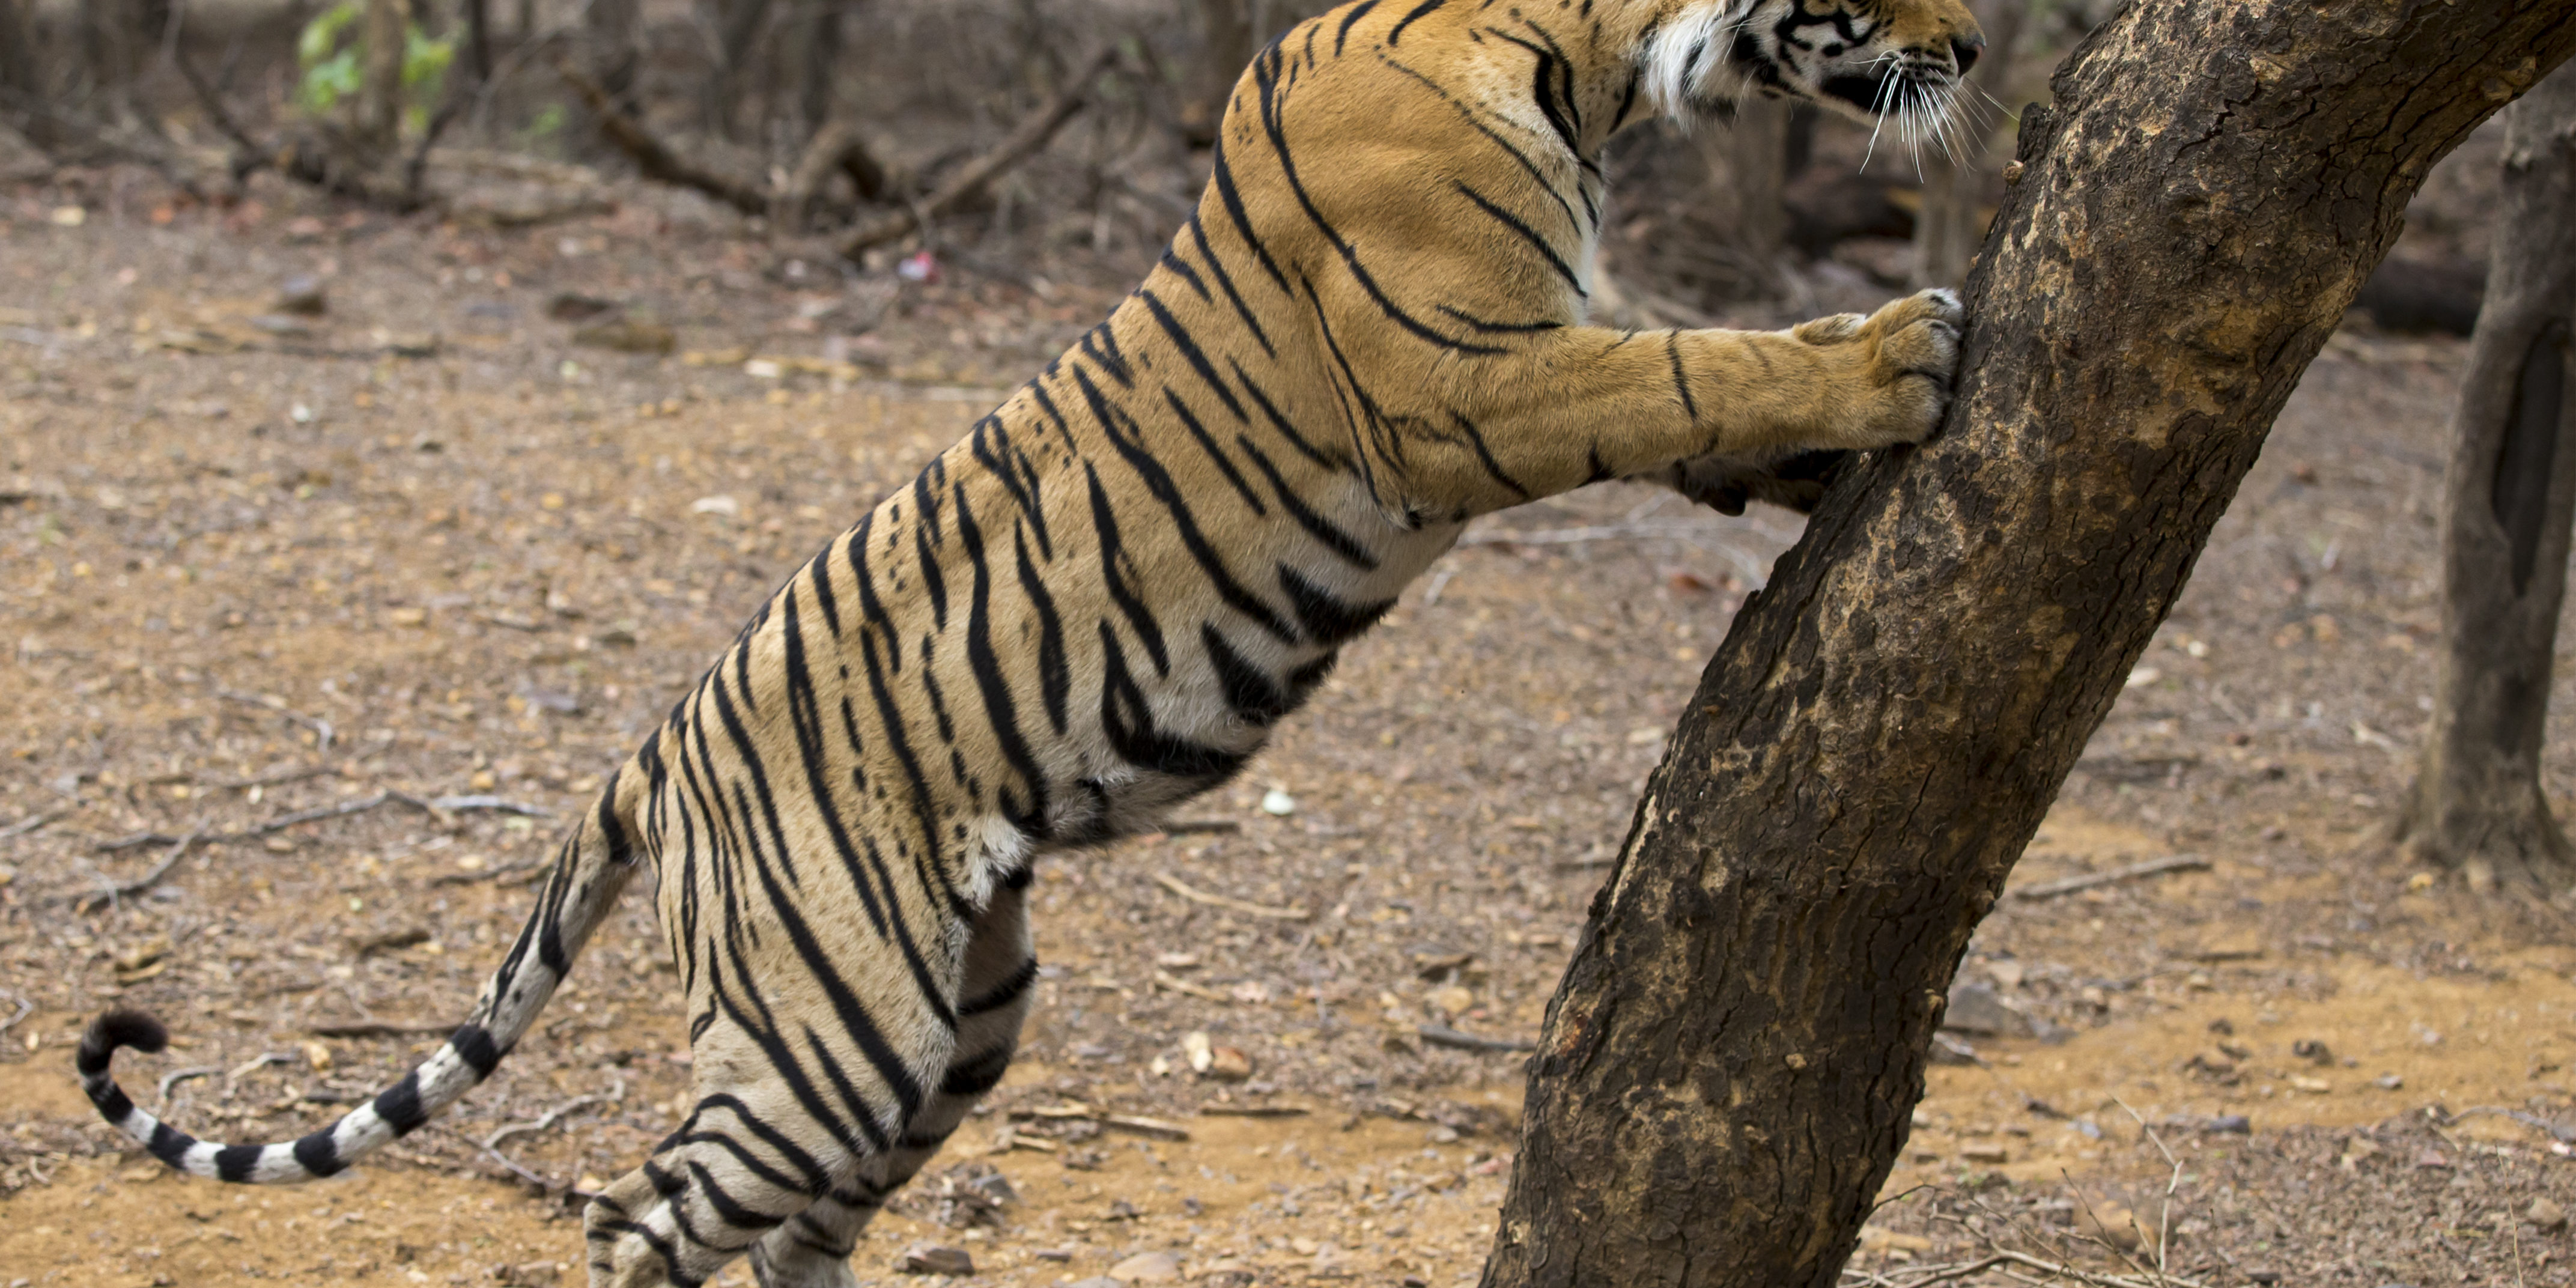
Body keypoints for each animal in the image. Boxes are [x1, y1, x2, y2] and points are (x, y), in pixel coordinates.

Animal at [78, 0, 1983, 1283]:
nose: (1972, 46)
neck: (1592, 57)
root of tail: (652, 755)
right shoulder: (1461, 379)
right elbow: (1687, 368)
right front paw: (1893, 352)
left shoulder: (1527, 342)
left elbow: (1684, 387)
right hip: (825, 1037)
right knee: (643, 1220)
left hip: (956, 1016)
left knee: (795, 1234)